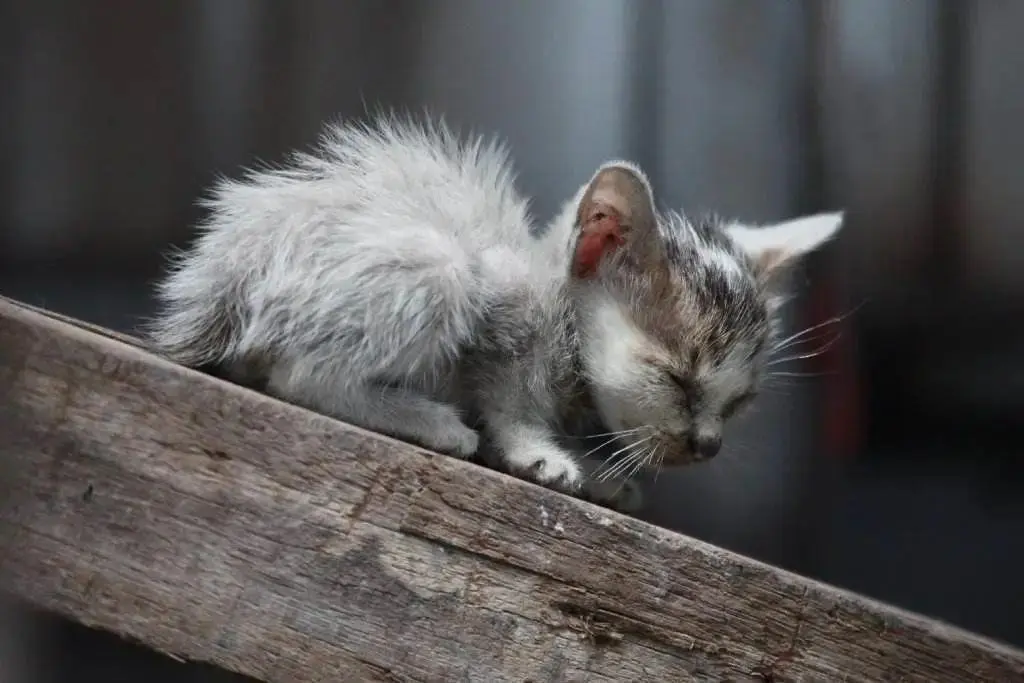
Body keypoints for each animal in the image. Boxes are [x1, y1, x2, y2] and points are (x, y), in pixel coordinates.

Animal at [148, 117, 843, 509]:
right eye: (676, 379)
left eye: (740, 403)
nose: (707, 445)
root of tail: (225, 276)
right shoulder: (508, 302)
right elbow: (509, 393)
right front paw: (537, 450)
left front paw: (597, 470)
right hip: (440, 269)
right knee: (298, 377)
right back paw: (430, 421)